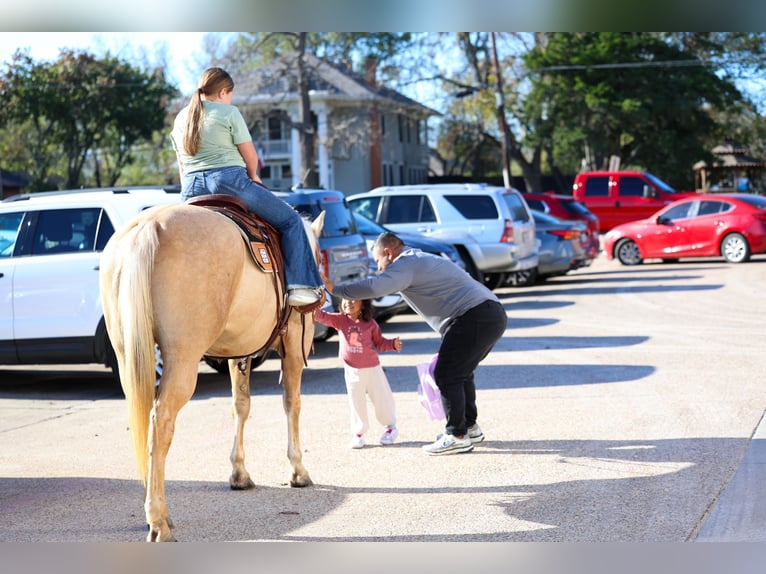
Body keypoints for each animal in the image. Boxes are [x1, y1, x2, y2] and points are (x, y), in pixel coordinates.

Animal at [99, 199, 324, 542]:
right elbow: (292, 403)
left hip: (128, 356)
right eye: (321, 259)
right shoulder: (295, 344)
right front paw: (298, 471)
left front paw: (239, 473)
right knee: (160, 423)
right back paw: (158, 521)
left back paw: (155, 512)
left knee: (143, 419)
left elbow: (240, 406)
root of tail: (148, 229)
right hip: (183, 359)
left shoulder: (239, 352)